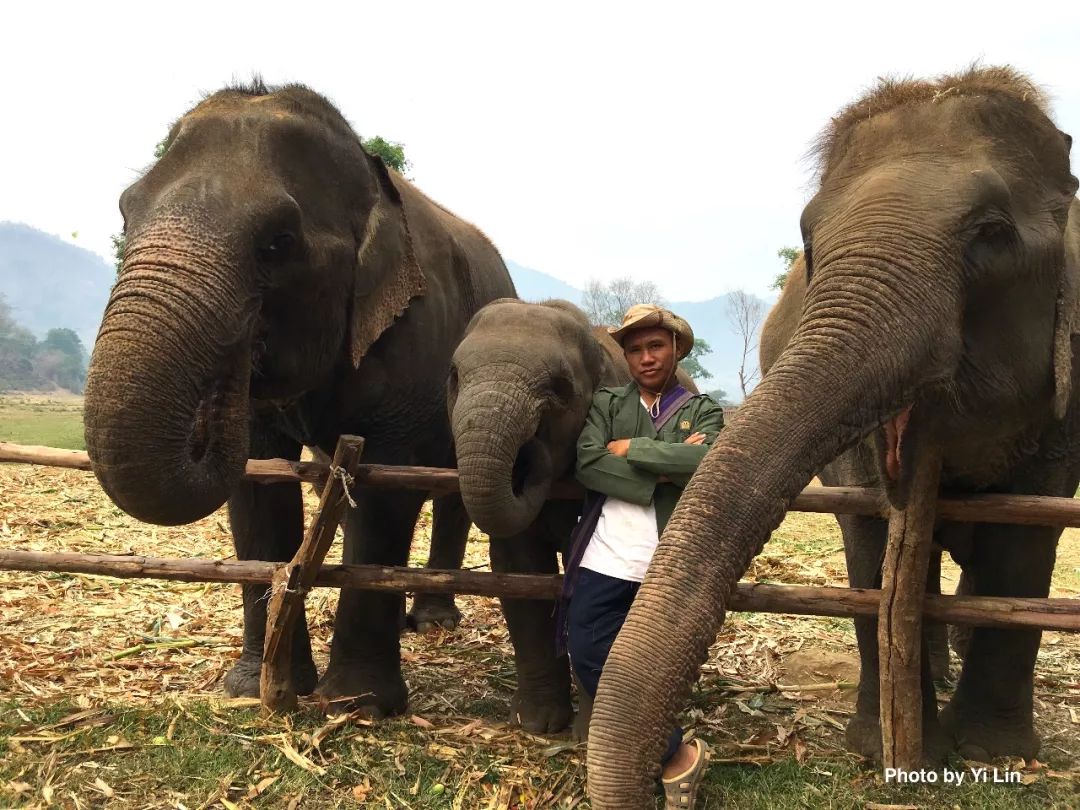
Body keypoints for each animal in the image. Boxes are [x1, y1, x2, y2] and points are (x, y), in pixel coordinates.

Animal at [84, 82, 514, 717]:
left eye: (277, 242)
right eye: (124, 211)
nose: (237, 360)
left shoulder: (412, 341)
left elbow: (384, 492)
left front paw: (358, 703)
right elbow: (259, 485)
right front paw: (253, 688)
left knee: (453, 487)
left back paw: (434, 623)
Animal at [447, 298, 699, 734]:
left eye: (559, 389)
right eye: (455, 377)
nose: (531, 454)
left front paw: (583, 734)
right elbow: (519, 570)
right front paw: (537, 725)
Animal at [587, 66, 1080, 807]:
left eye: (993, 232)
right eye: (810, 242)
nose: (673, 773)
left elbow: (1024, 533)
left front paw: (994, 753)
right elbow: (869, 529)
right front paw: (884, 748)